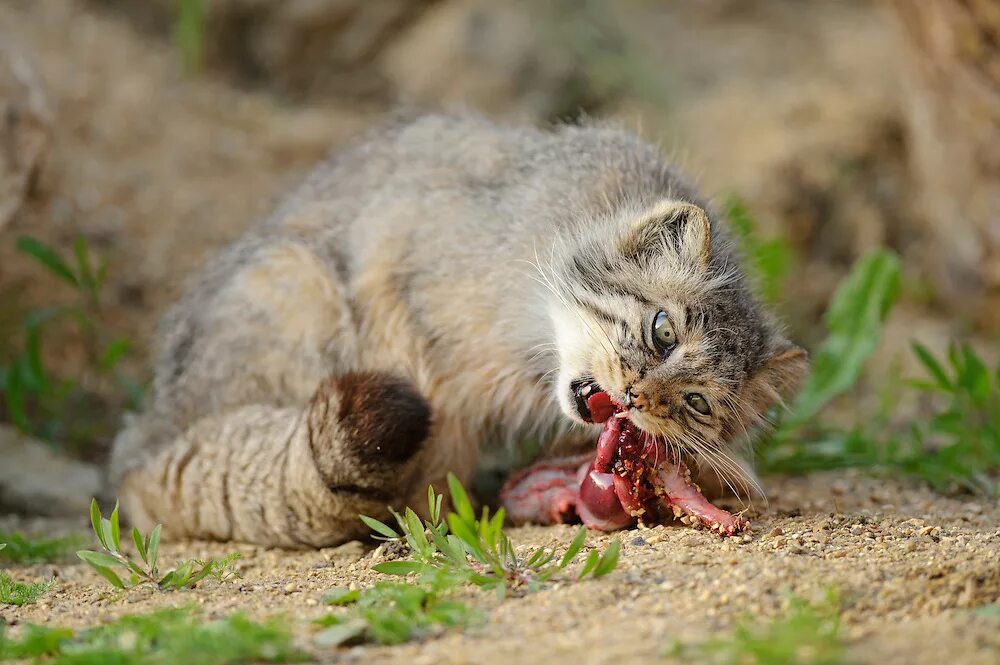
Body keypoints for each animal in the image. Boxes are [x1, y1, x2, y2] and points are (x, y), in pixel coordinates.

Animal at [109, 110, 808, 544]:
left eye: (696, 404)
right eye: (662, 330)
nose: (638, 397)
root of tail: (143, 434)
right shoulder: (398, 269)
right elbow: (438, 417)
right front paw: (434, 518)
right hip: (292, 280)